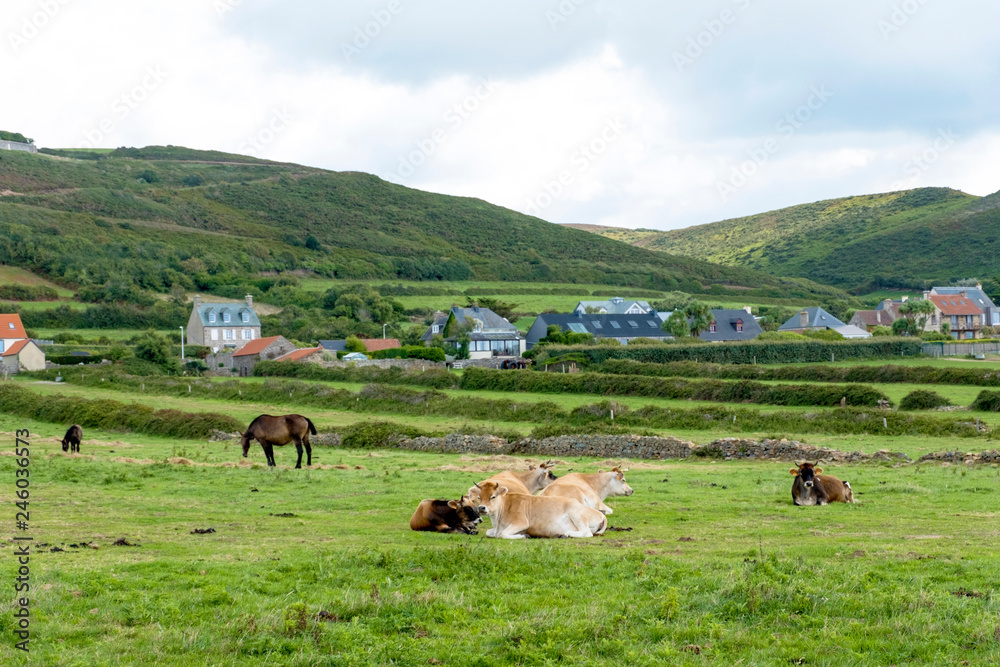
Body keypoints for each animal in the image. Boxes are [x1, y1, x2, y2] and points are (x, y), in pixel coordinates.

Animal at [474, 481, 607, 539]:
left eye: (493, 496)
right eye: (479, 497)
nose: (481, 508)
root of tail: (601, 514)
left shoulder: (521, 523)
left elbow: (503, 534)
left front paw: (523, 536)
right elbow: (489, 532)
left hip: (576, 513)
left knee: (586, 533)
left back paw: (565, 533)